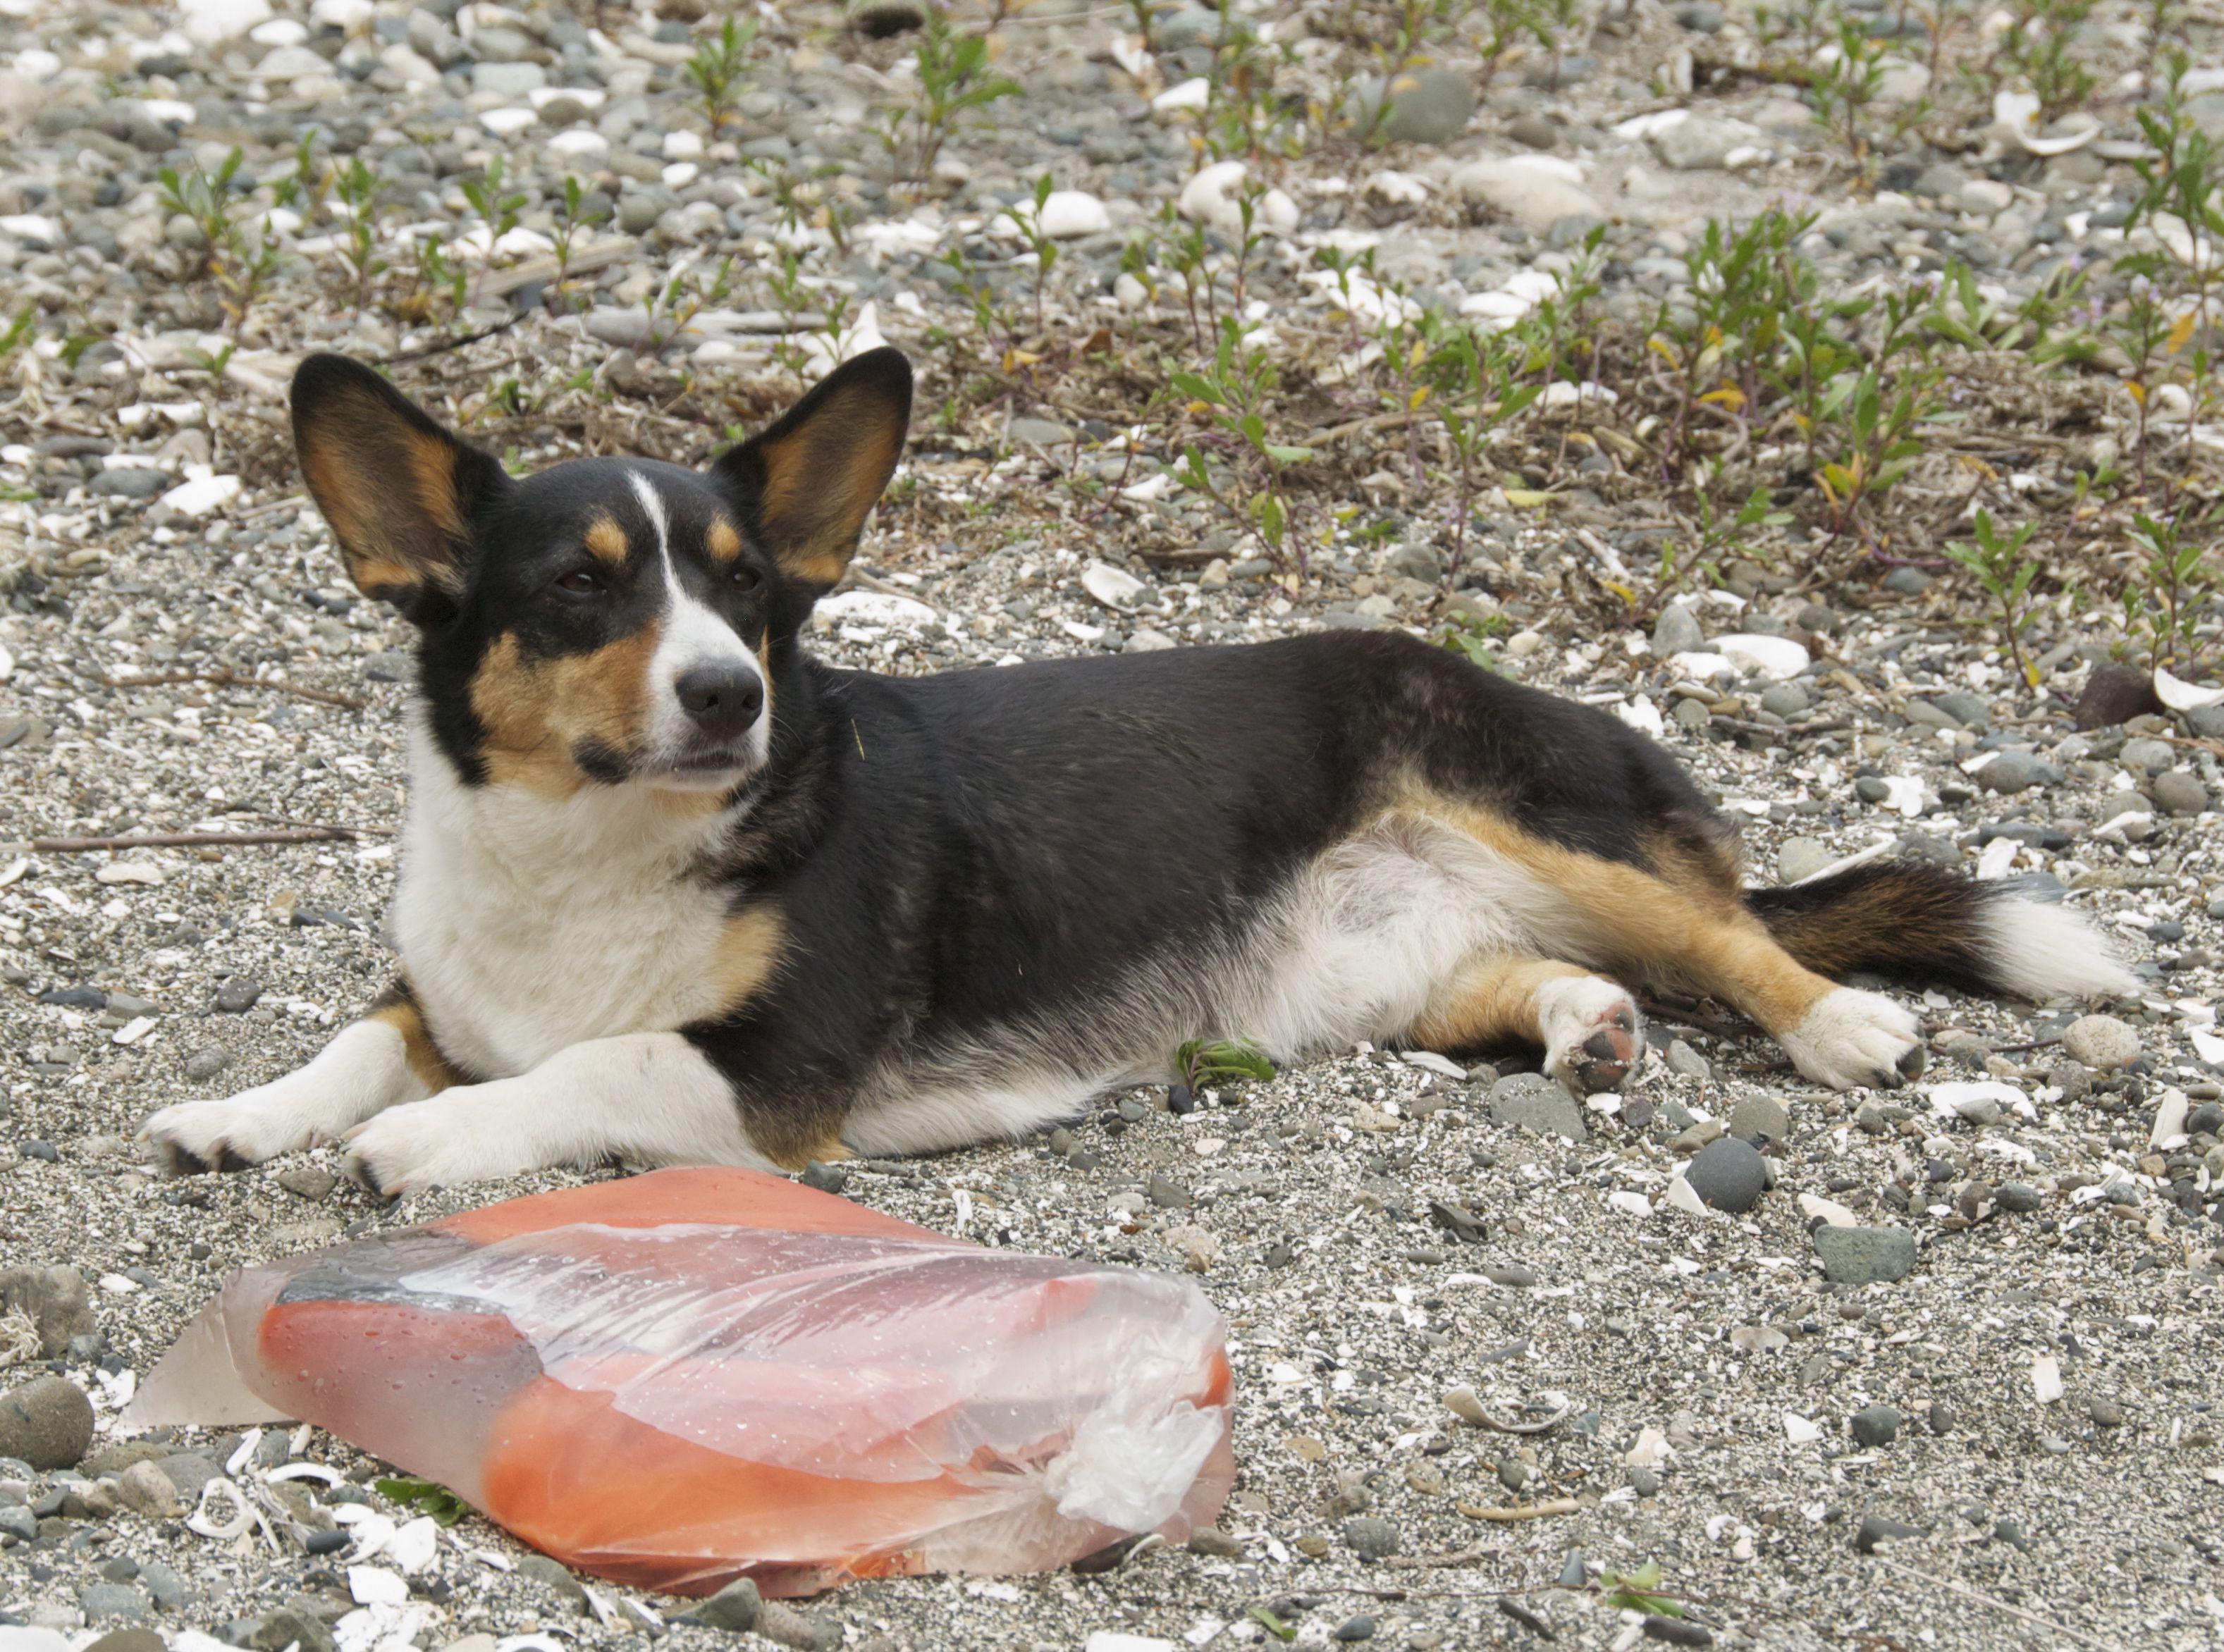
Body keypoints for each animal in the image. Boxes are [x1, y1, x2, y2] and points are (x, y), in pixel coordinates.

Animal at [143, 349, 2134, 1191]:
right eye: (581, 586)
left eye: (748, 589)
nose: (727, 696)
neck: (593, 843)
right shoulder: (445, 987)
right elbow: (355, 1037)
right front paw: (241, 1110)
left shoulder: (770, 1073)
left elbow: (584, 1064)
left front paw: (424, 1138)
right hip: (1373, 971)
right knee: (1527, 973)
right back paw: (1584, 1031)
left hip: (1530, 804)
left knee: (1732, 935)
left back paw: (1840, 1023)